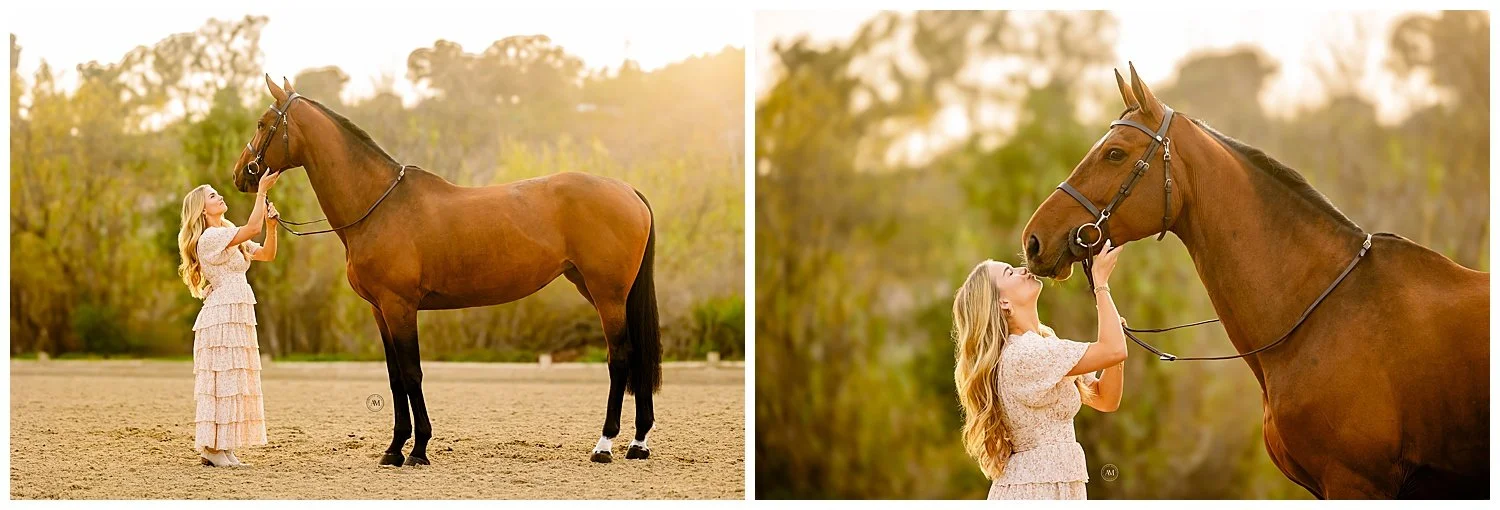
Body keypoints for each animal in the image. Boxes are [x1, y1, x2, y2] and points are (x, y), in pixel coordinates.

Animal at [230, 75, 661, 466]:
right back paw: (638, 444)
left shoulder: (401, 307)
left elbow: (412, 373)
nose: (240, 174)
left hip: (607, 294)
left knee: (620, 357)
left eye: (263, 123)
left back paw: (605, 445)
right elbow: (394, 377)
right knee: (636, 355)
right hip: (598, 289)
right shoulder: (380, 310)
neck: (379, 205)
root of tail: (628, 191)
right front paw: (394, 449)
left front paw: (418, 449)